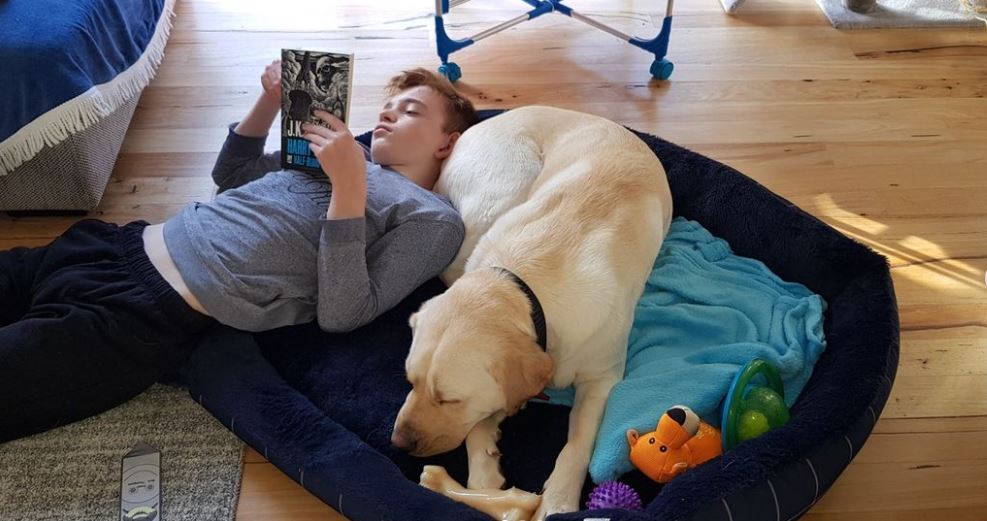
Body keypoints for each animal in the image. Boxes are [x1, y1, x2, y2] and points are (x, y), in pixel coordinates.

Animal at [388, 103, 672, 516]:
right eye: (411, 382)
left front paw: (557, 501)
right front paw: (483, 471)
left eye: (449, 399)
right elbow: (482, 424)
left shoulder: (601, 378)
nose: (399, 443)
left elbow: (576, 446)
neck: (522, 287)